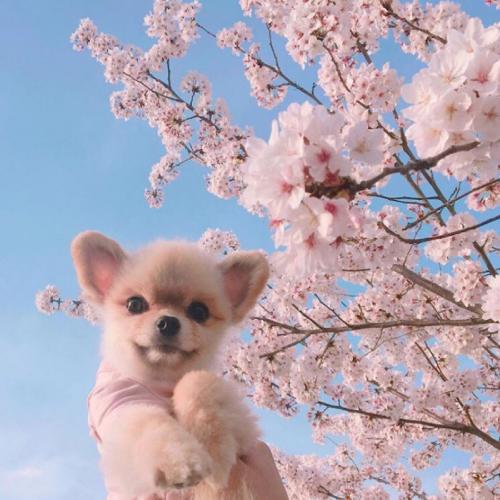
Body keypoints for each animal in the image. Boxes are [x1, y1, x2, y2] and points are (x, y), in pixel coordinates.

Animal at [71, 231, 269, 499]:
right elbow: (147, 424)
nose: (168, 322)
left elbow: (196, 381)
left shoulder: (245, 428)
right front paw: (178, 461)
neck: (162, 379)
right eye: (135, 304)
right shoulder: (118, 409)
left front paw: (212, 451)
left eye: (199, 311)